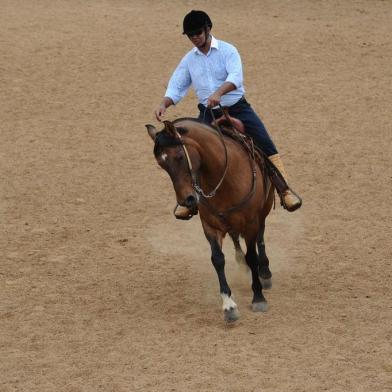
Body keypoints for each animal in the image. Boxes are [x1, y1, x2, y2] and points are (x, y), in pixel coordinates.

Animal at [145, 118, 274, 322]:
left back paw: (265, 272)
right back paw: (242, 266)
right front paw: (229, 306)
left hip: (263, 210)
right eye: (162, 164)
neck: (224, 176)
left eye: (180, 156)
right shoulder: (210, 226)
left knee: (260, 238)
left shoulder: (251, 222)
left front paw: (258, 298)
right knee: (235, 239)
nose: (187, 200)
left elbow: (252, 256)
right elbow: (218, 259)